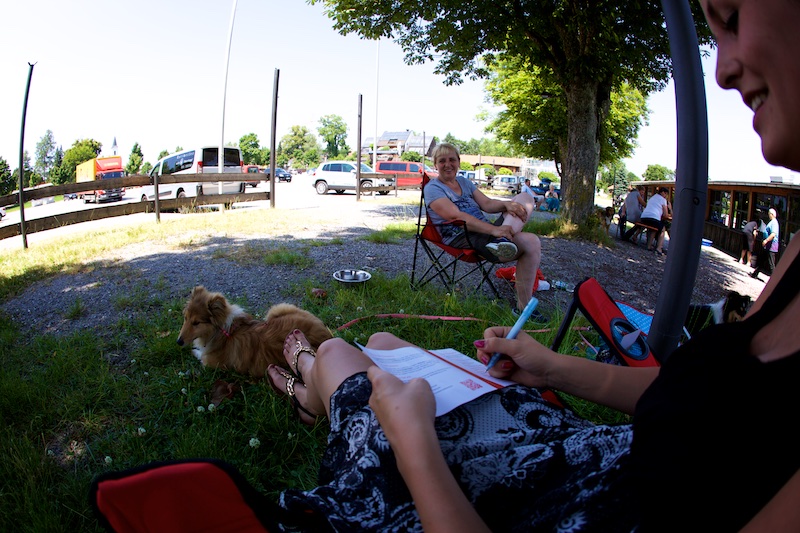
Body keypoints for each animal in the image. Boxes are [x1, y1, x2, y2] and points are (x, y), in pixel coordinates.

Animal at [177, 284, 332, 376]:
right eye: (185, 318)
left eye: (196, 323)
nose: (178, 342)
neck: (223, 332)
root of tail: (326, 336)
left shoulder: (212, 364)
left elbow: (201, 356)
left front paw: (194, 350)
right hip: (278, 309)